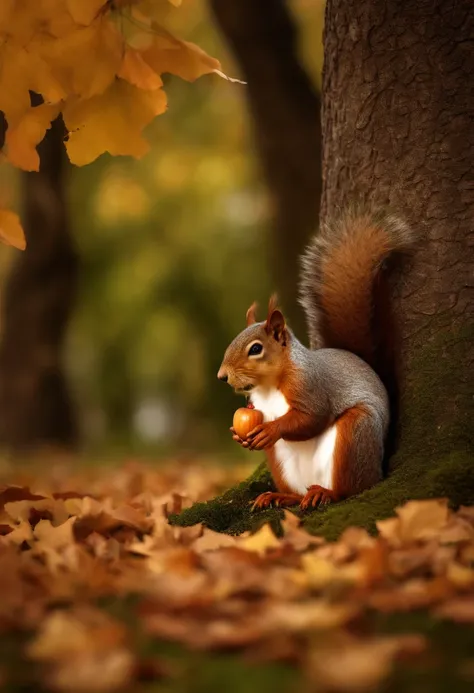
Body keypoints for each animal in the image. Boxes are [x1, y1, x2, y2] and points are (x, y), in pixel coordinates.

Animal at [217, 208, 412, 510]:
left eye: (256, 349)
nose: (222, 376)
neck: (269, 385)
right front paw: (237, 435)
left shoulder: (312, 385)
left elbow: (312, 417)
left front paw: (272, 428)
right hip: (281, 463)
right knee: (297, 494)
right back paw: (280, 496)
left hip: (356, 433)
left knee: (353, 488)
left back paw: (326, 493)